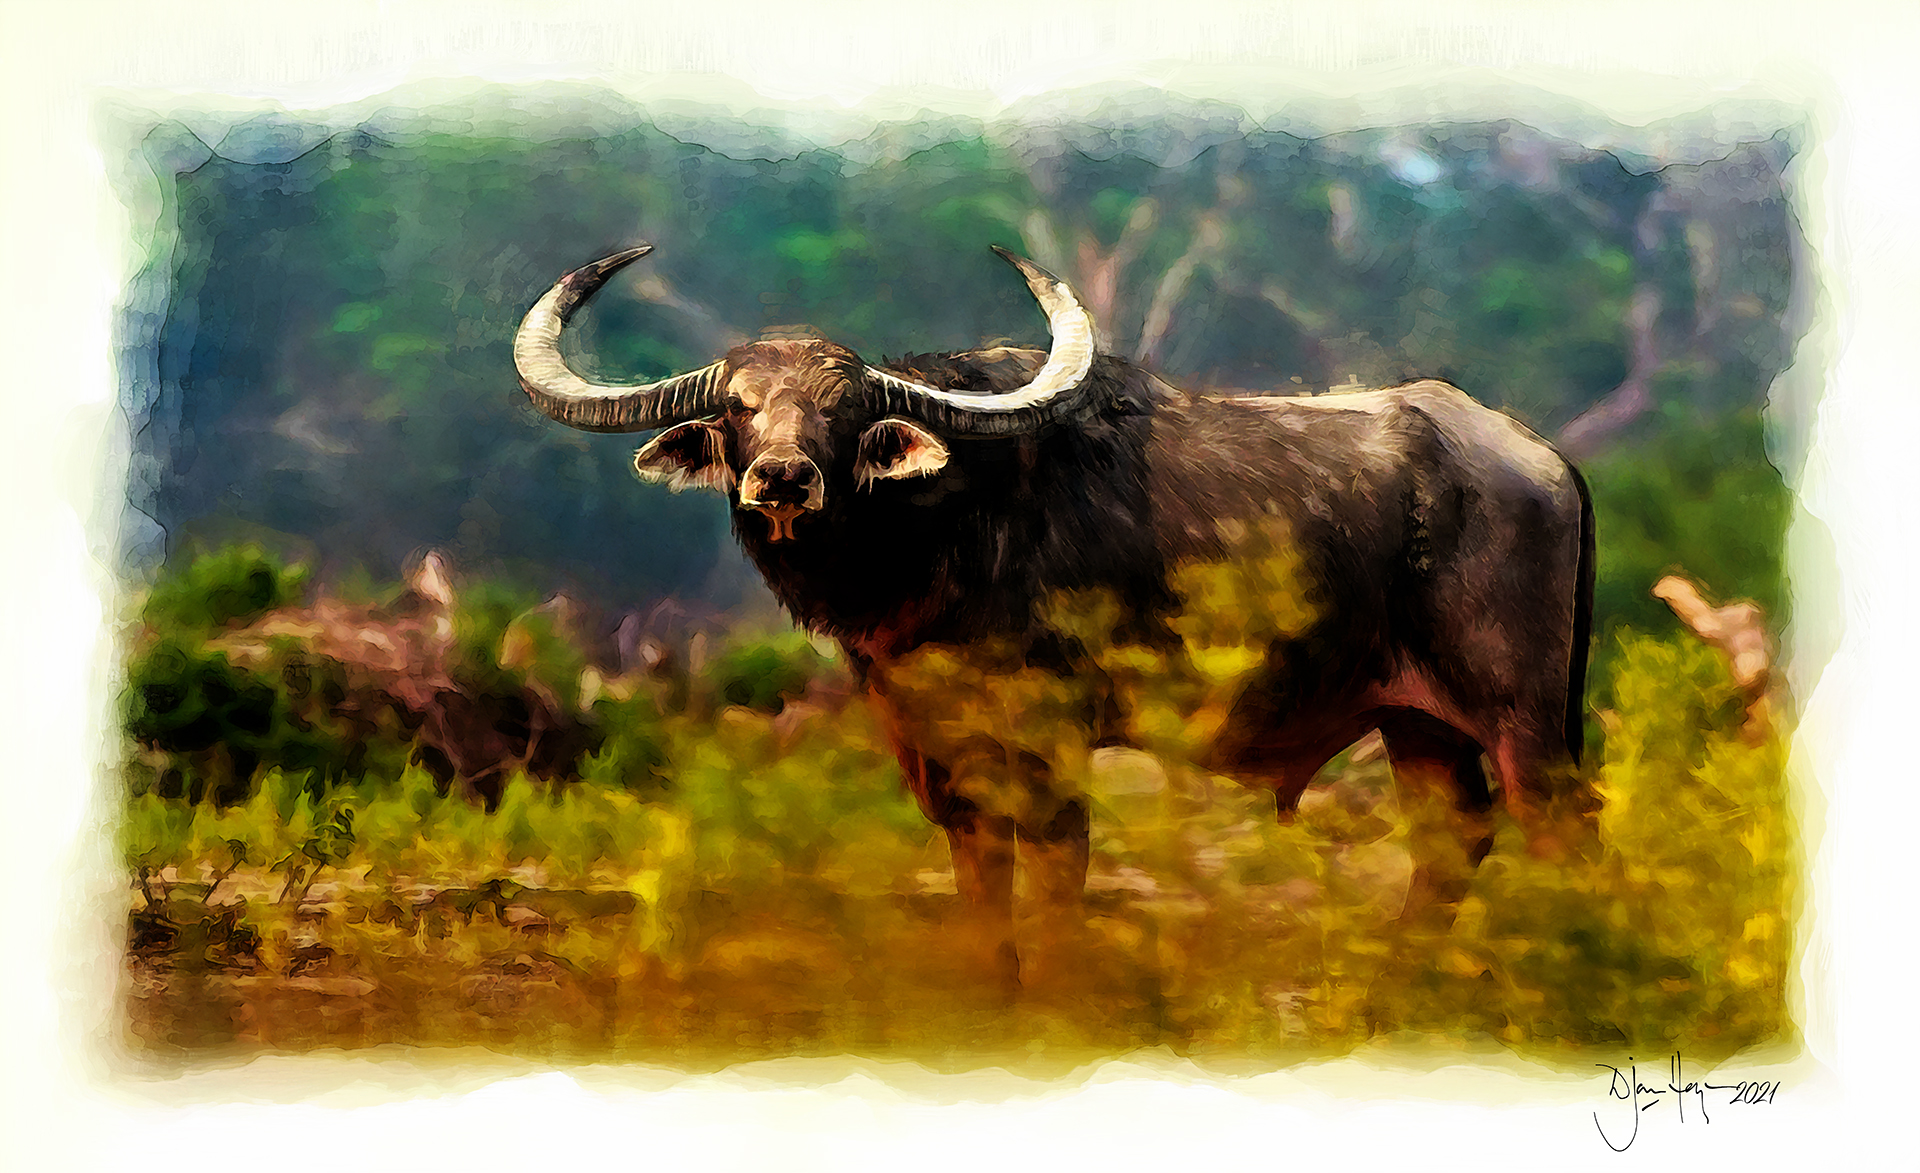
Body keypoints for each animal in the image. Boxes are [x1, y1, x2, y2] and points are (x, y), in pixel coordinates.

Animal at [514, 245, 1594, 983]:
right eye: (738, 407)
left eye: (842, 410)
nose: (782, 477)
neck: (938, 537)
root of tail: (1538, 460)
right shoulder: (939, 755)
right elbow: (980, 884)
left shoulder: (1053, 740)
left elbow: (1058, 869)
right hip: (1418, 722)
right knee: (1451, 844)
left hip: (1524, 717)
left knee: (1553, 828)